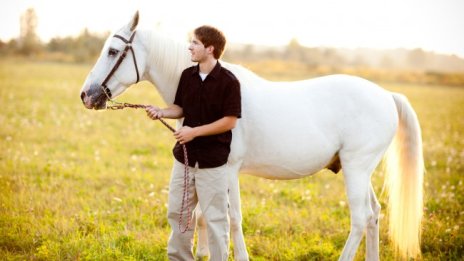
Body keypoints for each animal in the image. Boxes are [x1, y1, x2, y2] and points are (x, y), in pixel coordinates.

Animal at [80, 12, 424, 260]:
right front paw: (203, 253)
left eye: (113, 51)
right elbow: (202, 214)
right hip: (361, 172)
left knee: (360, 218)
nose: (86, 95)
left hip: (356, 168)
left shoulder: (228, 170)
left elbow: (231, 219)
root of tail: (386, 95)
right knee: (374, 215)